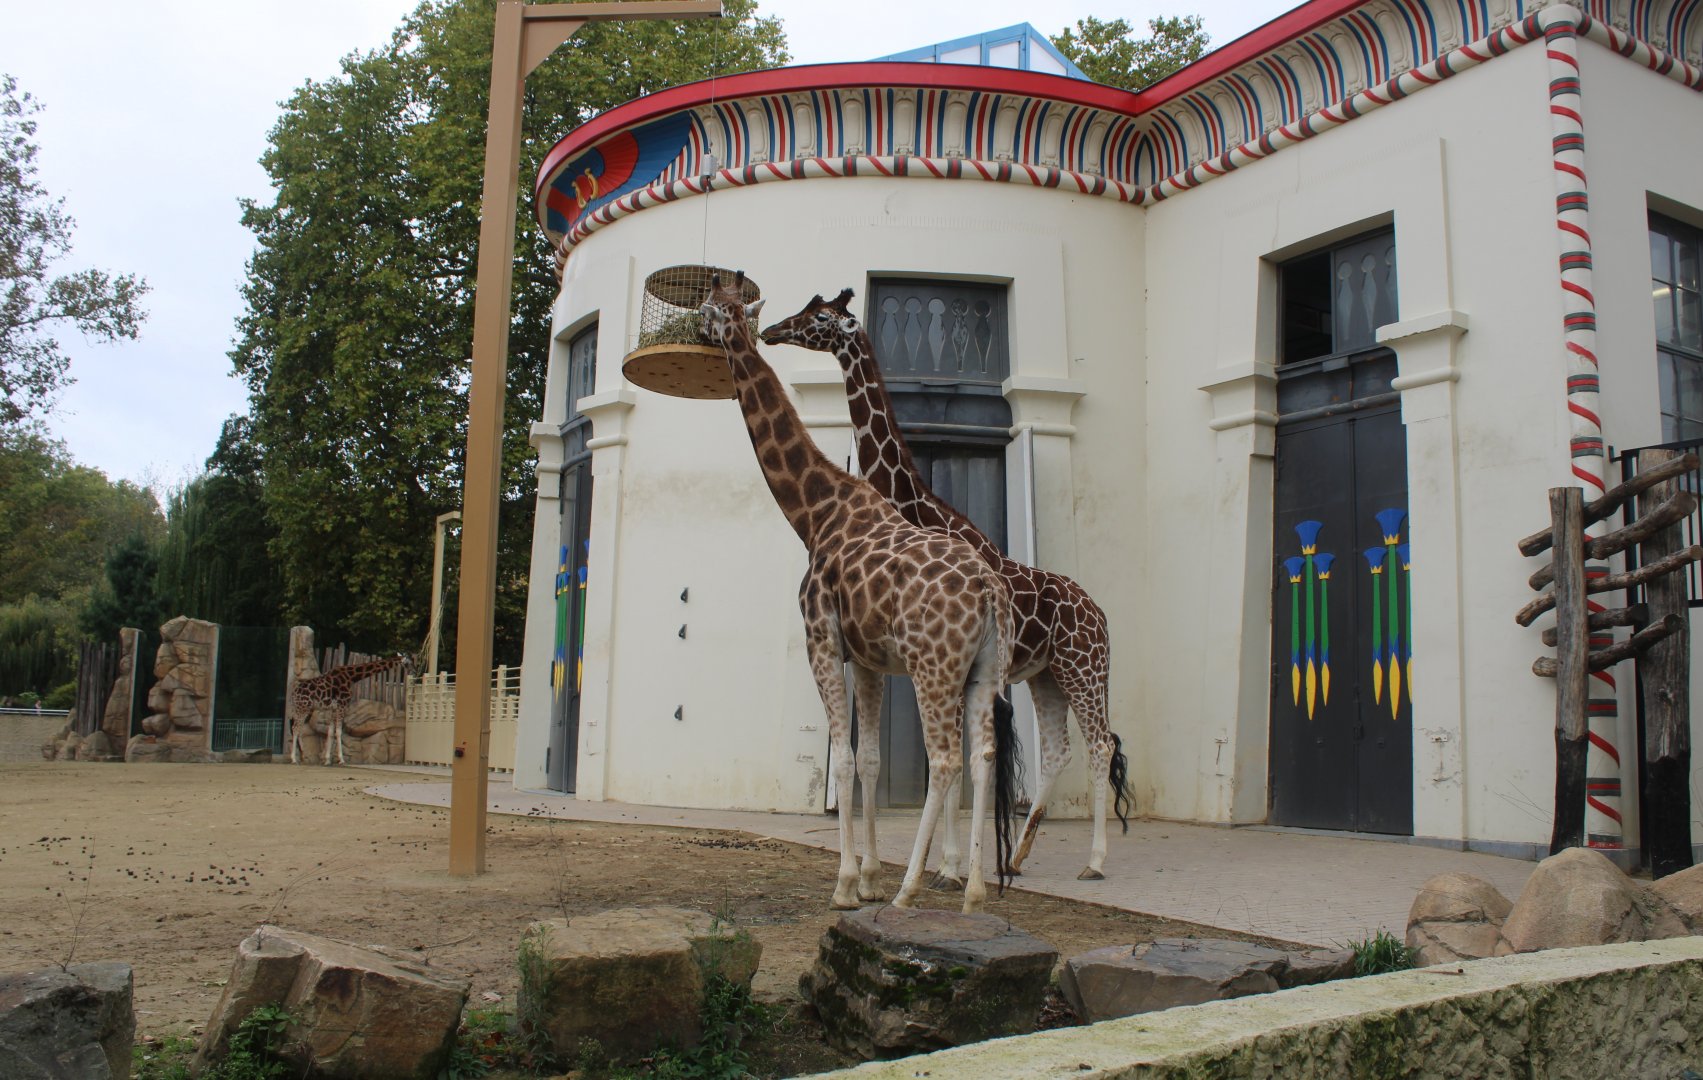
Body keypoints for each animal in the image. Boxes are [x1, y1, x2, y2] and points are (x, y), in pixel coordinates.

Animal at [697, 272, 1020, 914]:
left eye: (710, 309)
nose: (770, 332)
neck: (815, 514)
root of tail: (991, 587)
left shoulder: (820, 641)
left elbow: (843, 761)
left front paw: (848, 884)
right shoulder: (870, 661)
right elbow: (869, 759)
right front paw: (868, 875)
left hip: (933, 667)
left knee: (946, 759)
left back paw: (911, 887)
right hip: (980, 670)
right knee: (982, 756)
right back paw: (973, 891)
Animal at [760, 288, 1132, 881]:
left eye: (818, 317)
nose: (772, 330)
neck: (922, 511)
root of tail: (1098, 611)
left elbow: (958, 760)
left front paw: (952, 866)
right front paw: (954, 864)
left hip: (1086, 667)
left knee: (1100, 744)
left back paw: (1094, 862)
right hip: (1046, 676)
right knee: (1059, 751)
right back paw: (1019, 855)